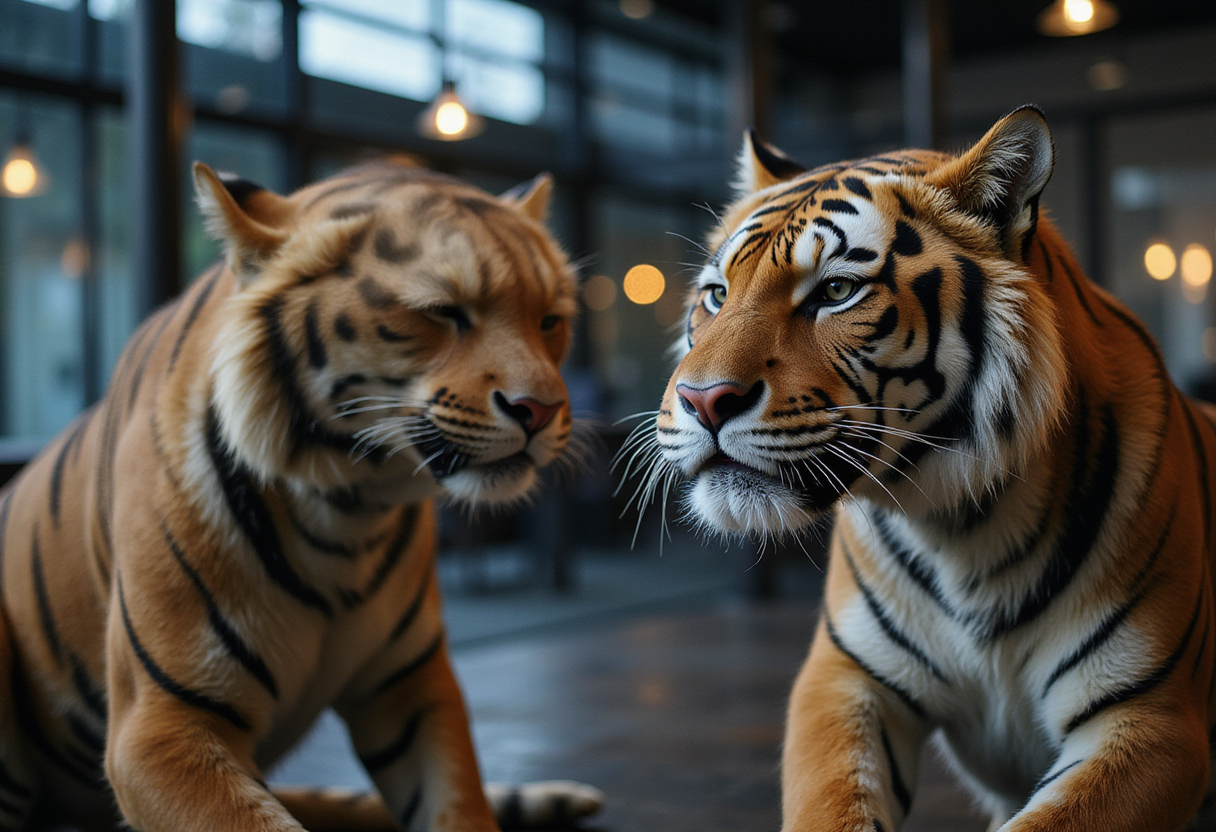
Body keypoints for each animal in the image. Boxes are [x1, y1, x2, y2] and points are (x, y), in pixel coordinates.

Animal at [0, 159, 603, 831]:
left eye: (549, 320)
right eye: (442, 312)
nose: (542, 411)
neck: (348, 509)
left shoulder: (413, 688)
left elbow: (458, 804)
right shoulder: (159, 726)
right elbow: (259, 820)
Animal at [638, 105, 1216, 830]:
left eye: (836, 291)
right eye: (716, 295)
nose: (702, 399)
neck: (964, 531)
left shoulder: (1152, 718)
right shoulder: (843, 678)